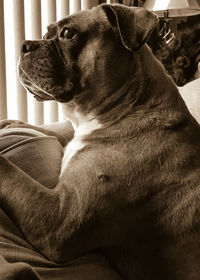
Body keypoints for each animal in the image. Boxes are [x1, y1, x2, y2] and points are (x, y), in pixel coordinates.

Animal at [1, 2, 200, 280]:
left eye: (68, 33)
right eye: (45, 33)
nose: (25, 44)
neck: (129, 106)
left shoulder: (57, 218)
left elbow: (10, 172)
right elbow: (59, 133)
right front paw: (14, 124)